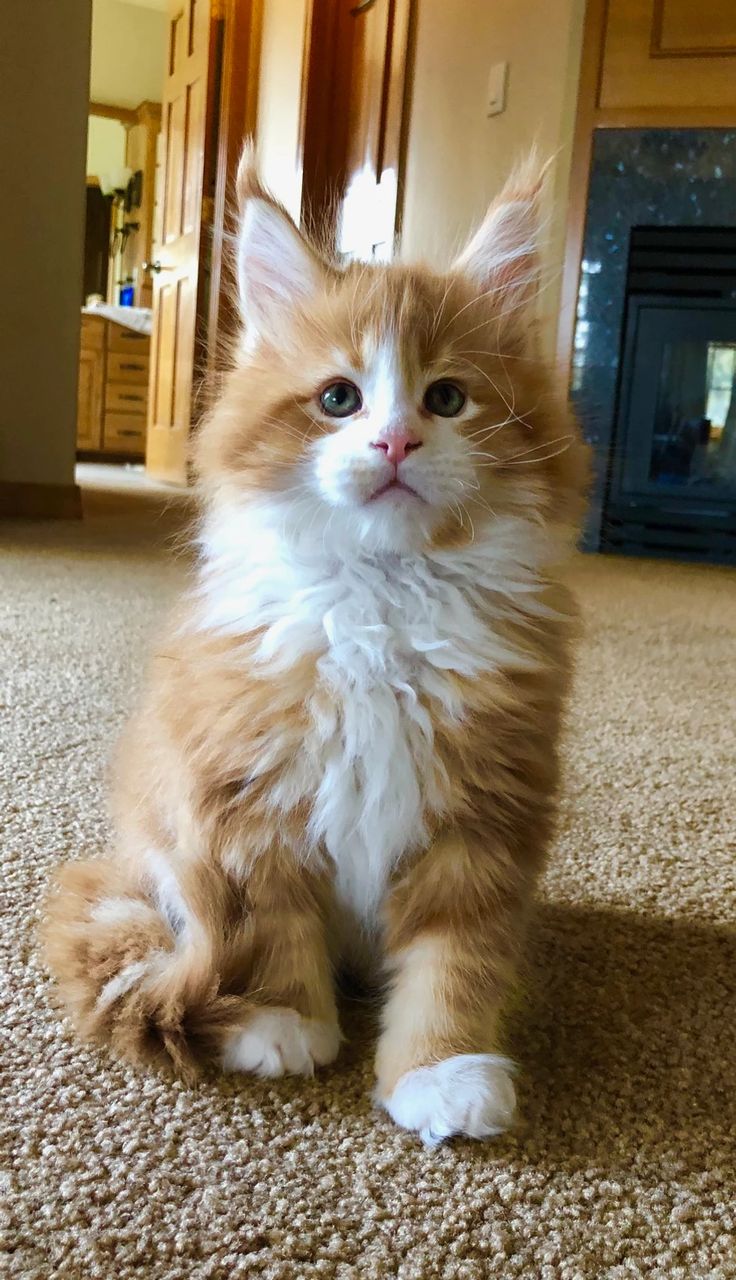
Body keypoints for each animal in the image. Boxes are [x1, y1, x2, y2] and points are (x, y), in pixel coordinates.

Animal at [43, 152, 591, 1152]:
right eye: (339, 398)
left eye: (446, 398)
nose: (395, 440)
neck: (382, 602)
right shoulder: (247, 804)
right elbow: (269, 926)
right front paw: (279, 1024)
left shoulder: (481, 823)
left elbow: (455, 963)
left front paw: (440, 1071)